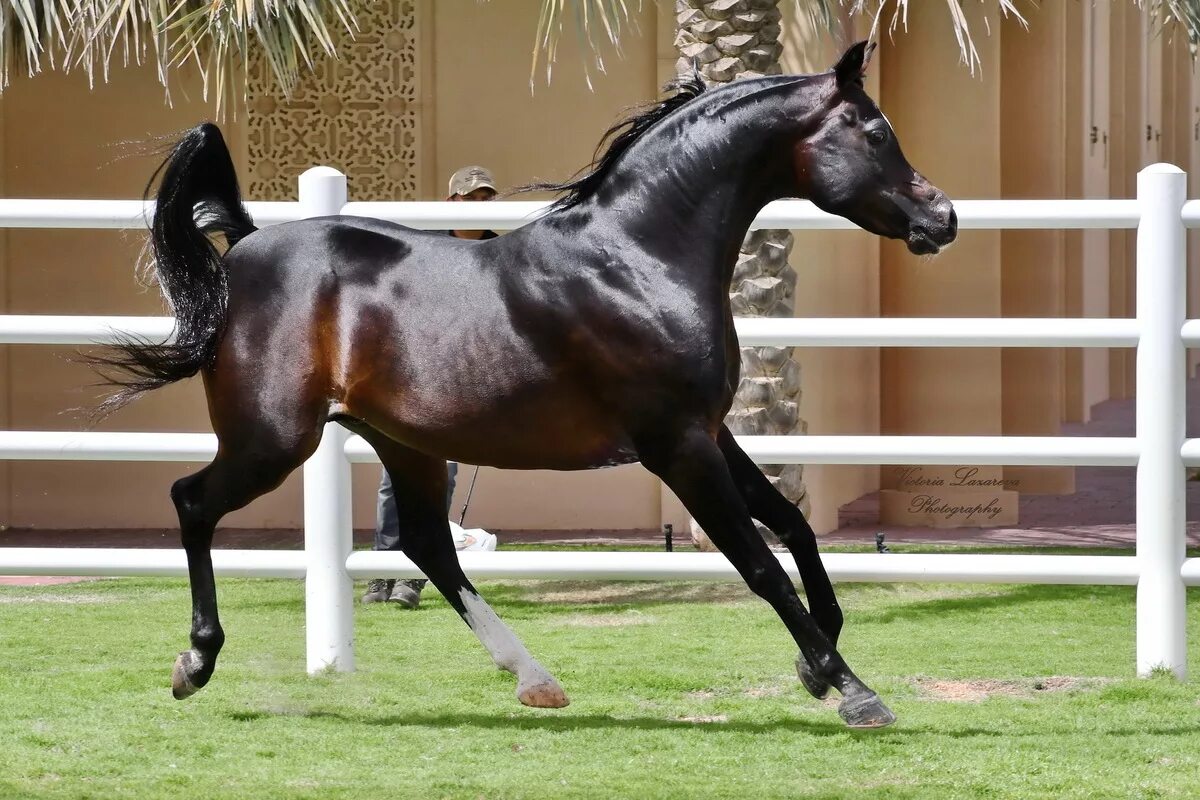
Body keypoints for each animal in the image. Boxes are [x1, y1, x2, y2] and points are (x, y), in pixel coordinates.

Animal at [93, 43, 955, 734]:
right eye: (875, 133)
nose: (942, 217)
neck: (639, 256)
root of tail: (242, 248)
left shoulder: (710, 431)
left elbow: (796, 528)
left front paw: (820, 663)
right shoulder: (677, 446)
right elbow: (760, 564)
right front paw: (853, 690)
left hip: (402, 443)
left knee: (429, 545)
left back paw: (536, 680)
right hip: (273, 441)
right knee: (193, 502)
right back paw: (195, 664)